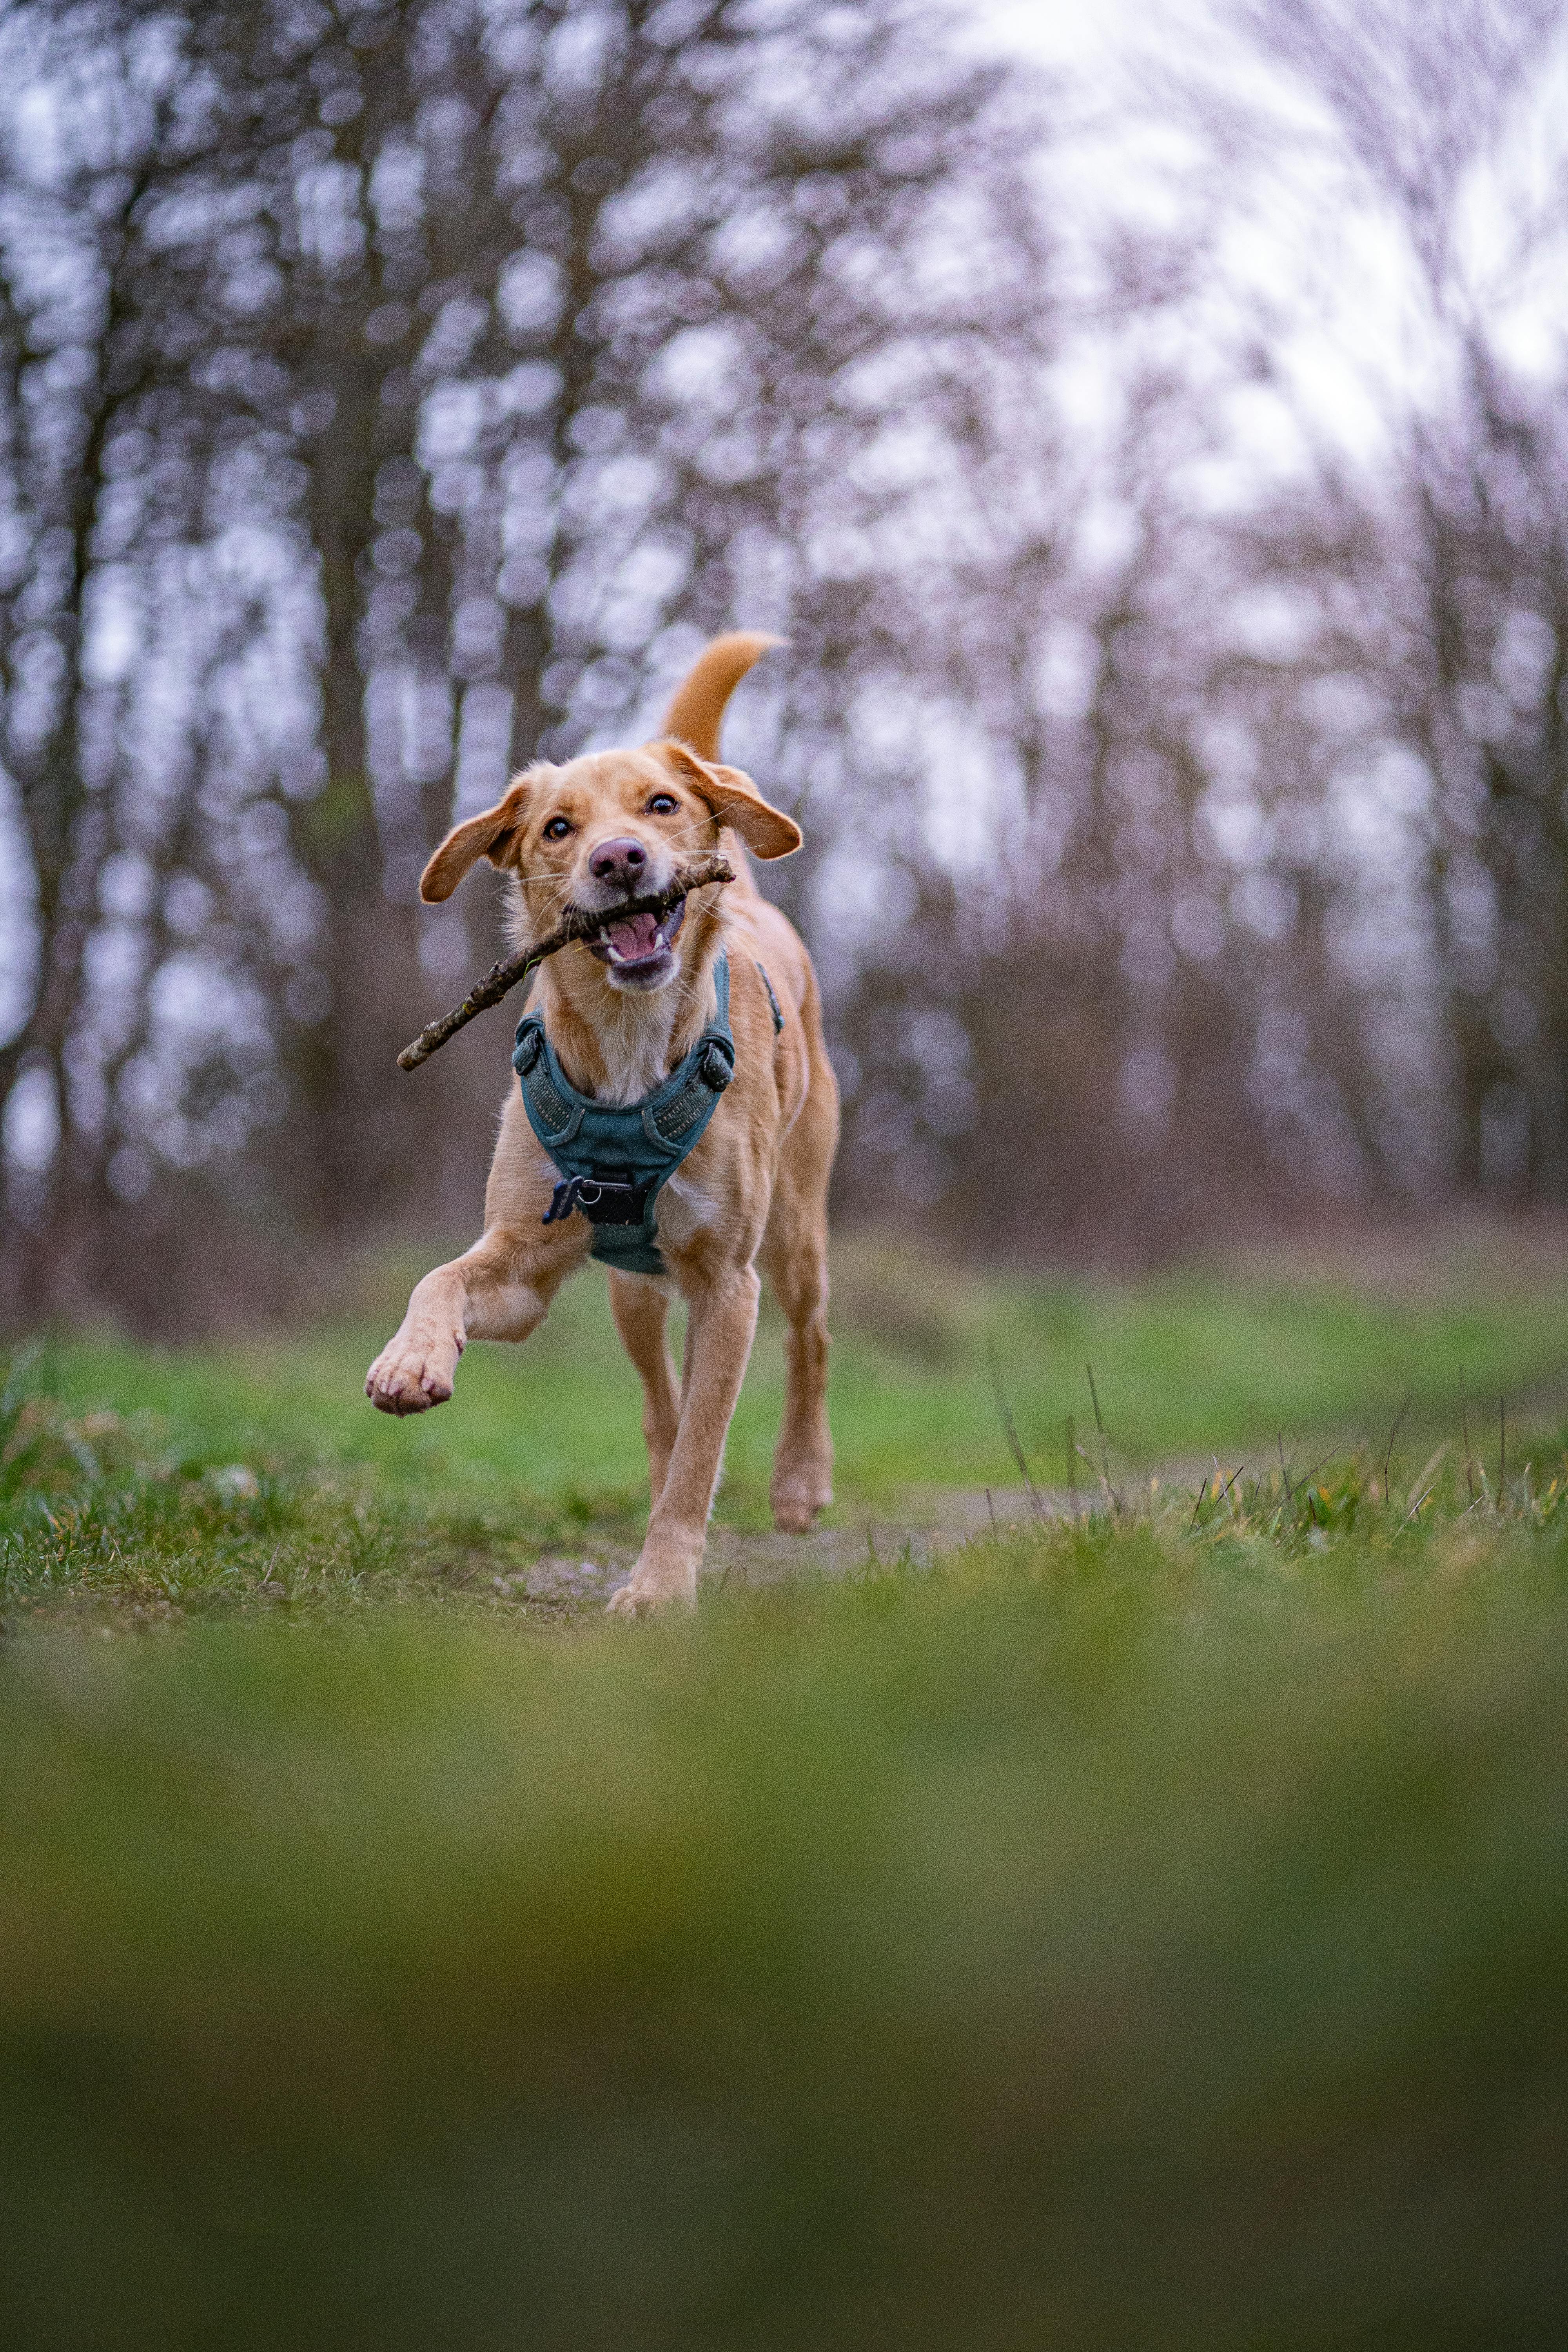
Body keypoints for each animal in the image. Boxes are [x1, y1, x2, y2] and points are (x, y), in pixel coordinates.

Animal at [367, 635, 841, 1609]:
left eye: (661, 805)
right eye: (557, 828)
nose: (619, 859)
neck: (627, 1040)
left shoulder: (728, 1286)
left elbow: (704, 1450)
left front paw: (660, 1590)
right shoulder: (524, 1268)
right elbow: (438, 1278)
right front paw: (410, 1360)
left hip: (793, 1233)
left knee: (808, 1340)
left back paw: (800, 1480)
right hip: (633, 1293)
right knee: (658, 1405)